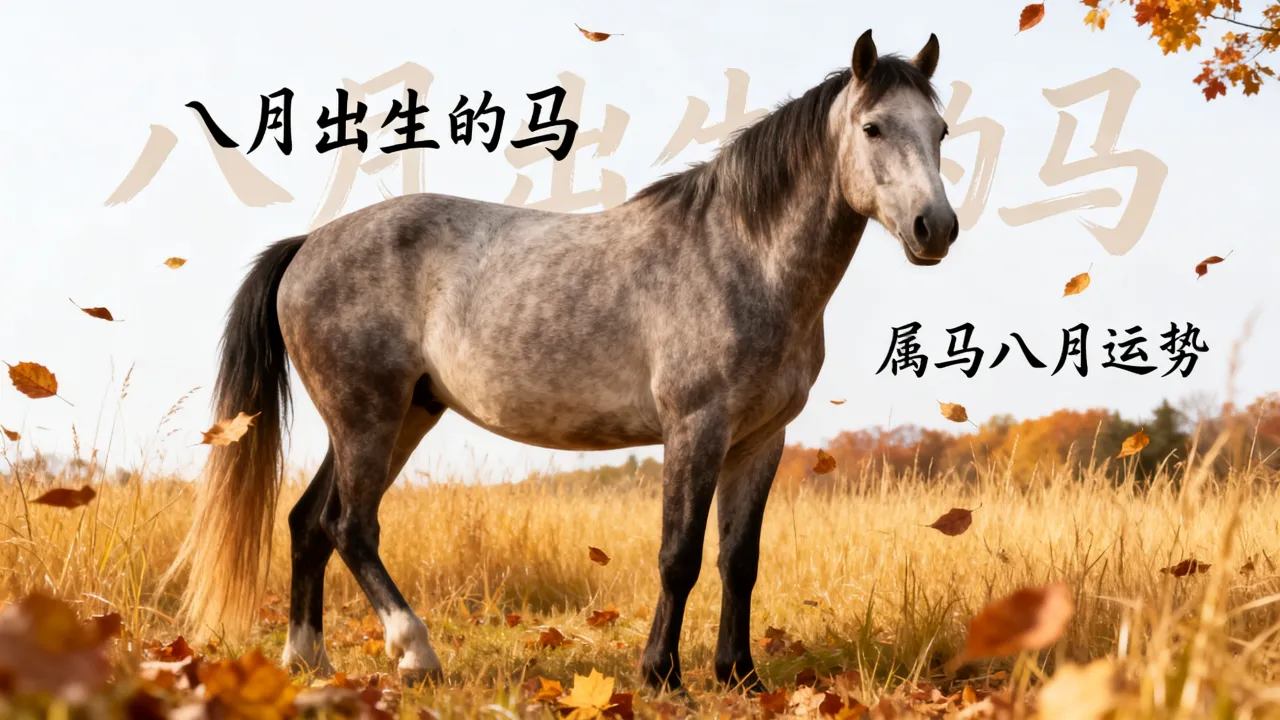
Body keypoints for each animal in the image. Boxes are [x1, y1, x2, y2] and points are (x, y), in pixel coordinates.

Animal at [163, 28, 959, 692]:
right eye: (873, 127)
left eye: (941, 130)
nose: (936, 228)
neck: (739, 254)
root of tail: (307, 245)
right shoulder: (695, 427)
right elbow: (679, 555)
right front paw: (661, 676)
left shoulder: (760, 439)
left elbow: (740, 560)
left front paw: (739, 677)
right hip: (368, 416)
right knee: (349, 525)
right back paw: (416, 655)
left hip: (400, 416)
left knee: (308, 523)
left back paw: (310, 661)